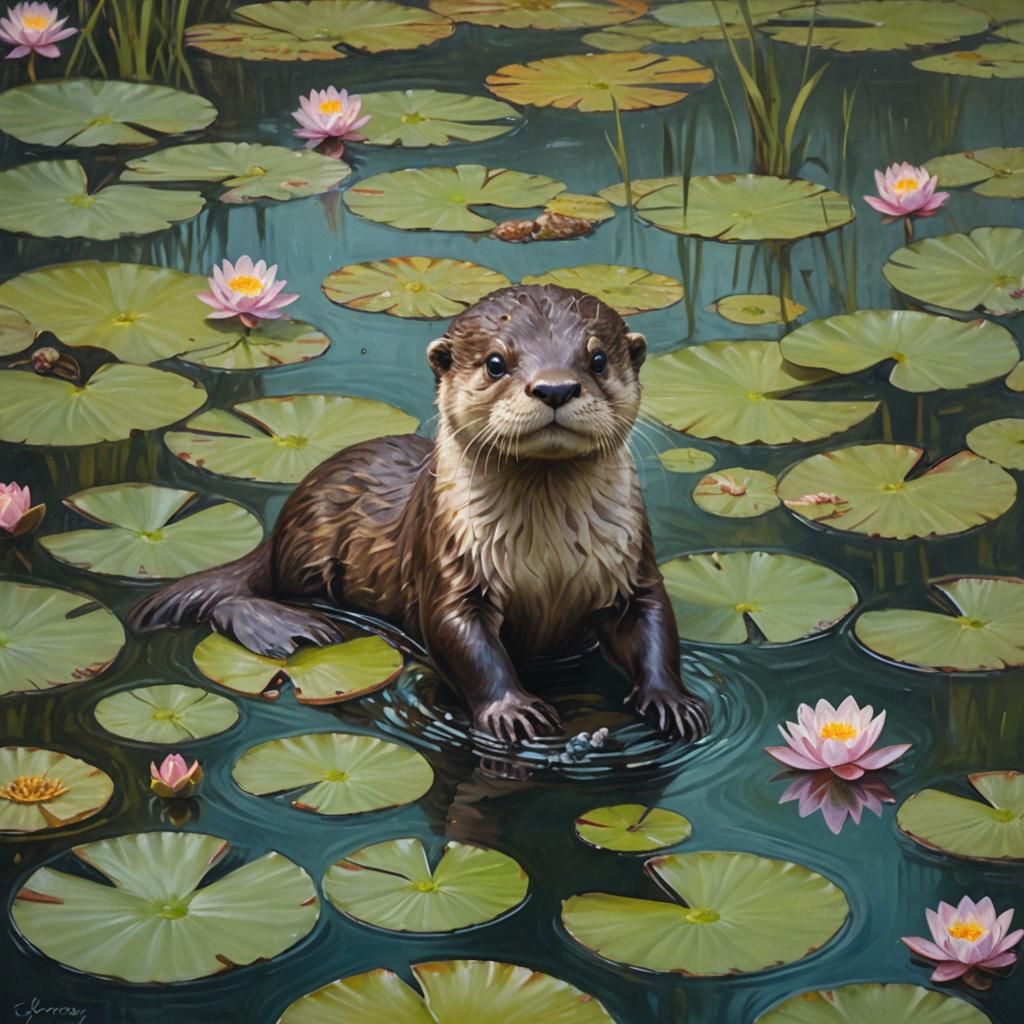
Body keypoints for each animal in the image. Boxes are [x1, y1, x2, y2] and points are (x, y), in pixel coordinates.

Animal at [131, 285, 710, 744]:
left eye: (597, 360)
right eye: (496, 362)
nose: (554, 387)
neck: (547, 561)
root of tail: (280, 526)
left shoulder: (630, 562)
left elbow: (654, 623)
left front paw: (672, 700)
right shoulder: (450, 566)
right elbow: (464, 640)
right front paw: (513, 709)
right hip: (305, 553)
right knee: (239, 594)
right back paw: (292, 630)